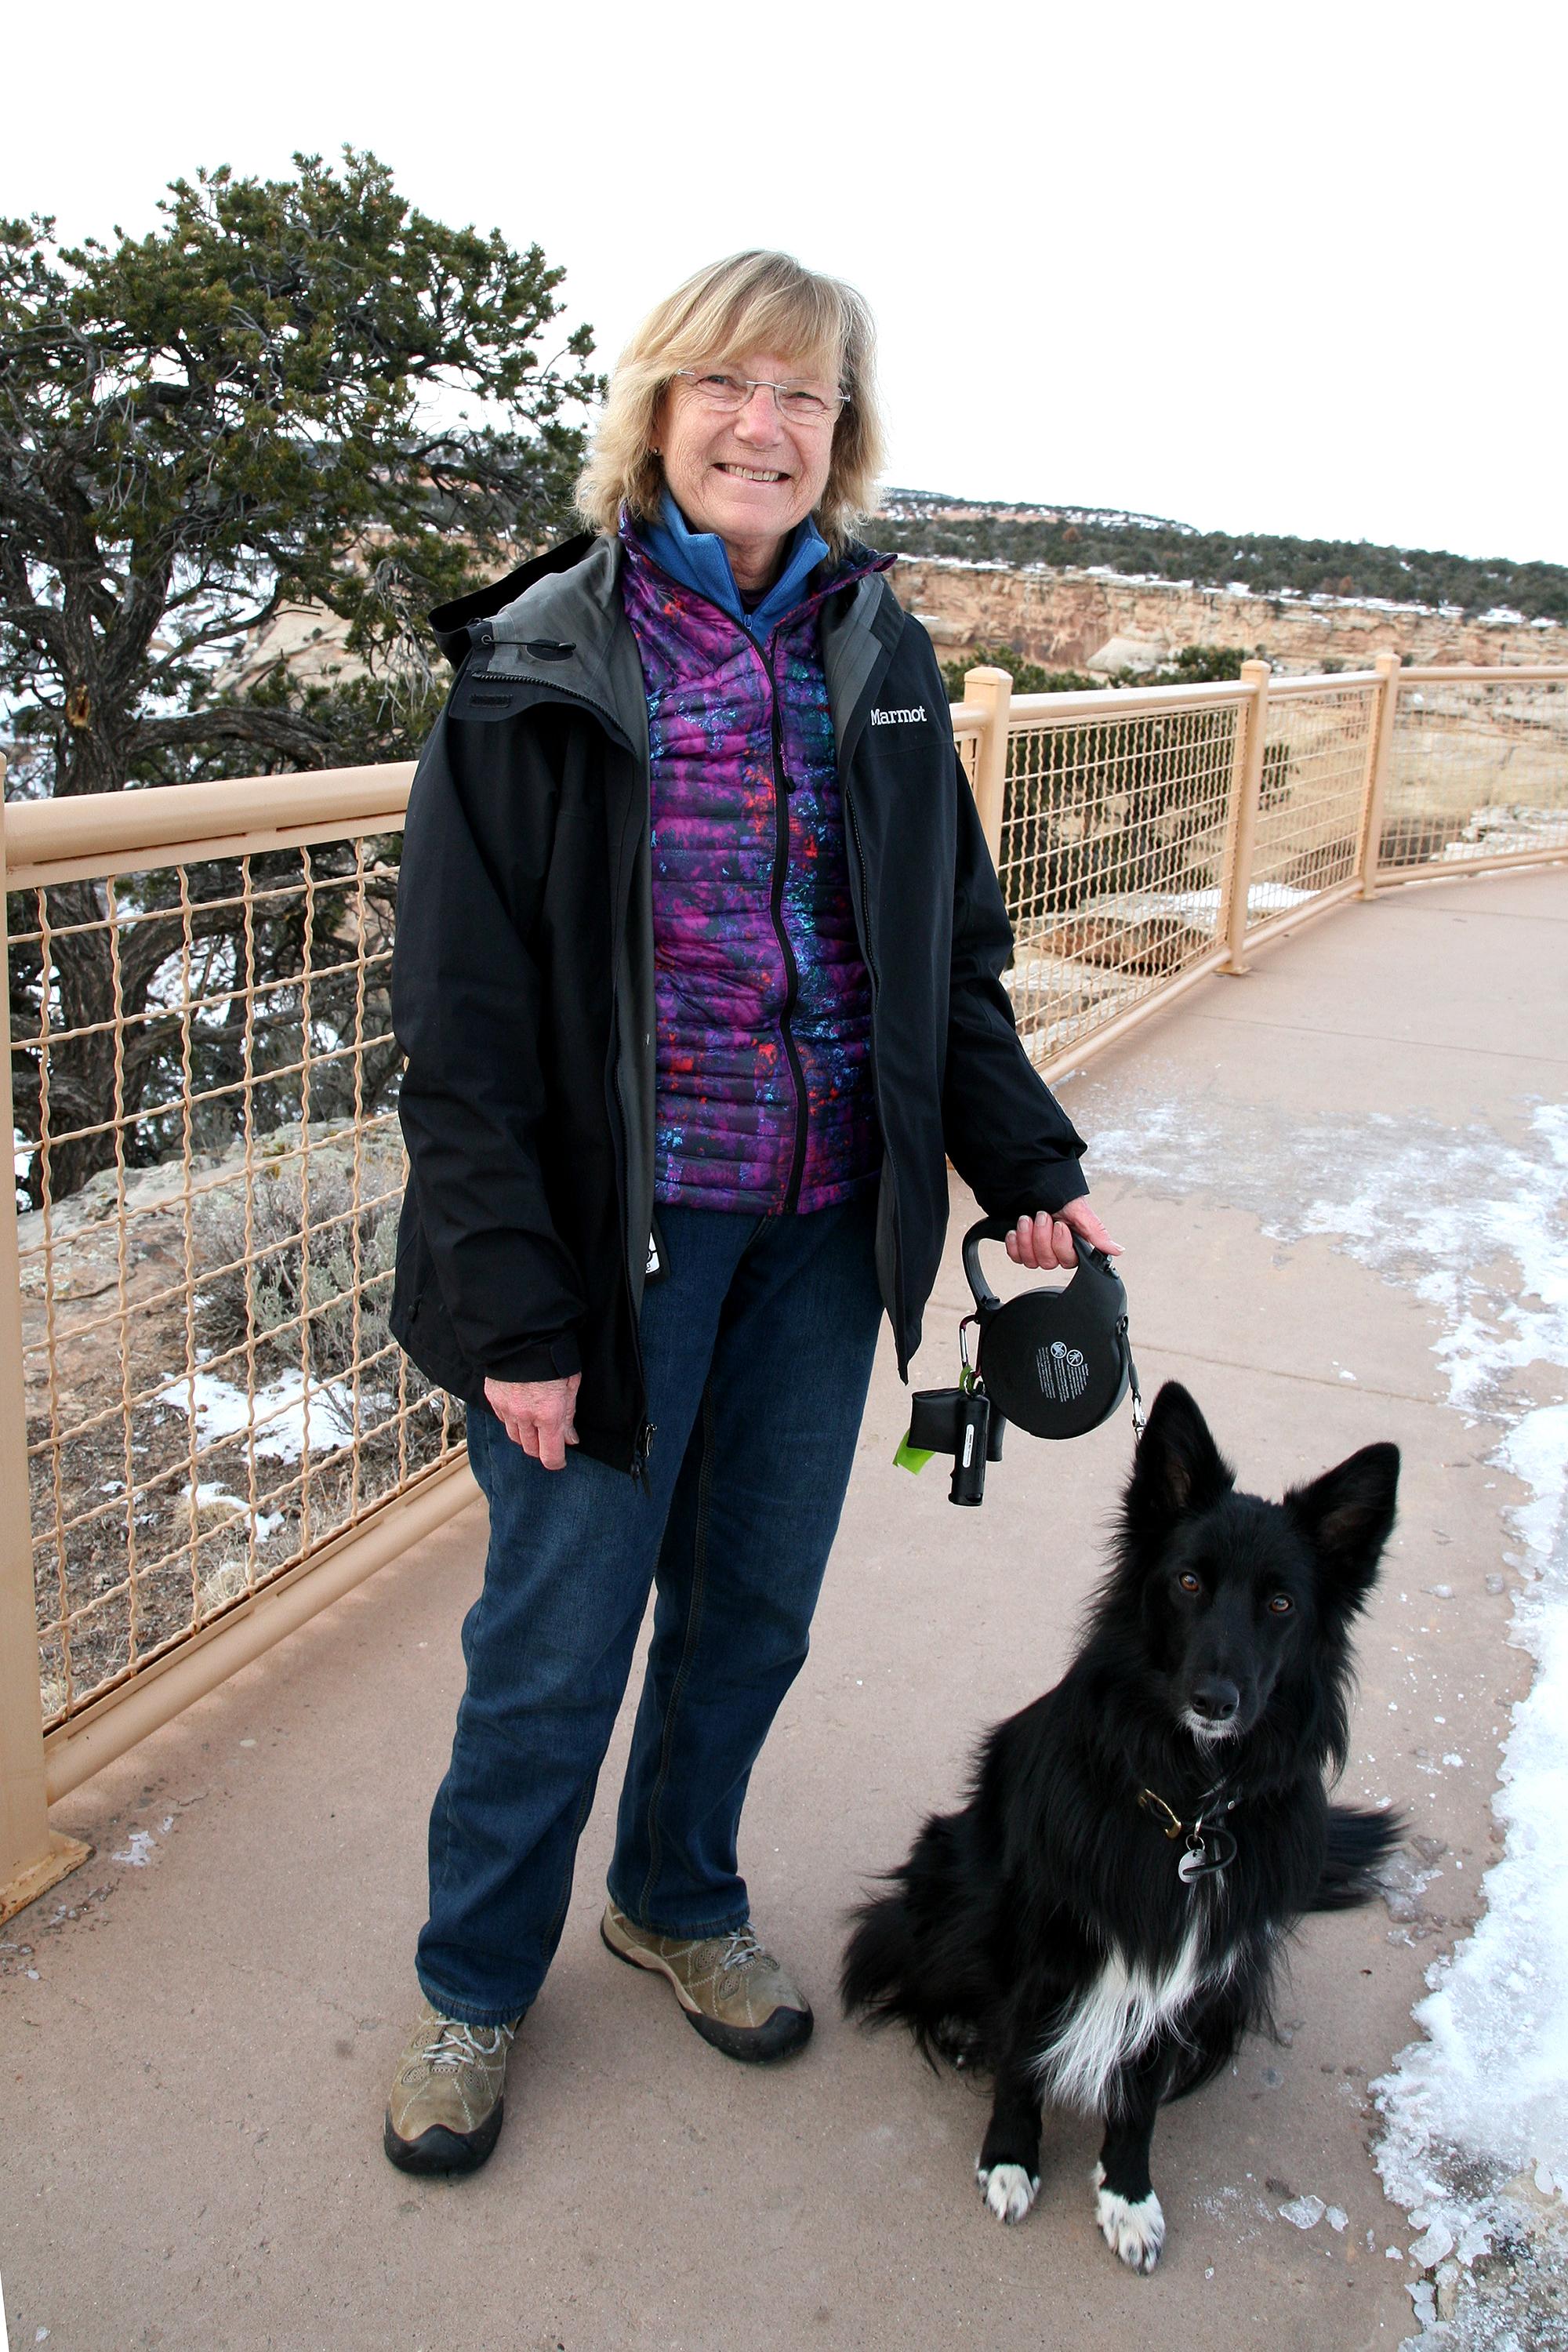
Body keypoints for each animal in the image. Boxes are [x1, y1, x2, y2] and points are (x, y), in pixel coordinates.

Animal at [846, 1383, 1401, 2267]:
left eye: (1281, 1603)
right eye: (1187, 1581)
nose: (1215, 1701)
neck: (1185, 1808)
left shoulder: (1183, 1964)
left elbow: (1139, 2091)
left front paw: (1127, 2193)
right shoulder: (1041, 1934)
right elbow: (1022, 2059)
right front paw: (1009, 2157)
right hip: (952, 1877)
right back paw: (963, 2028)